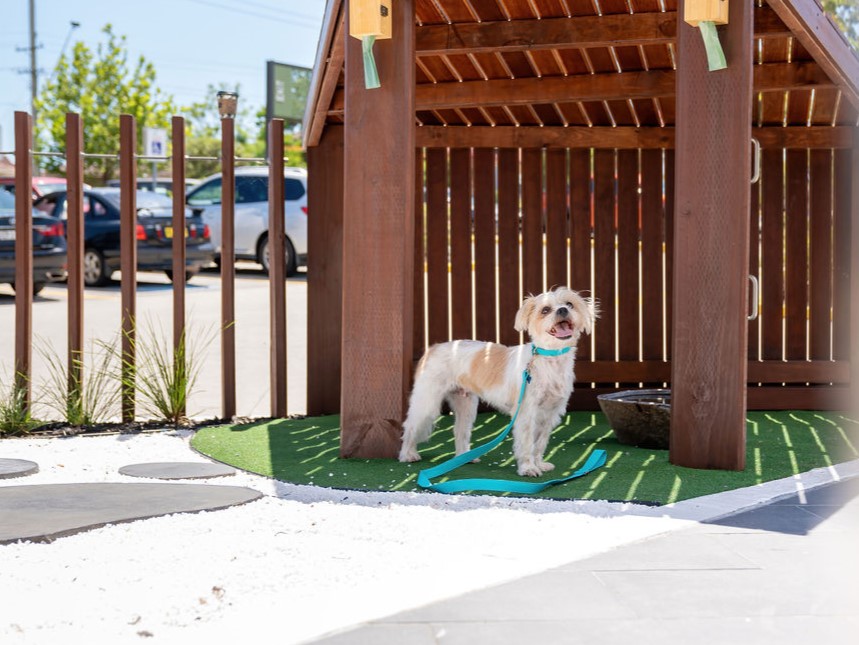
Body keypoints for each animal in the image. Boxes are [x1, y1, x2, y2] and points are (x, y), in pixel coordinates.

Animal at [398, 286, 596, 472]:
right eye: (545, 310)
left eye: (569, 304)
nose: (563, 310)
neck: (549, 359)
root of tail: (433, 348)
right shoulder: (526, 413)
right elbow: (526, 443)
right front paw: (528, 468)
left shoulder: (550, 414)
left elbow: (540, 444)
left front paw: (539, 464)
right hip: (426, 404)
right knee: (410, 426)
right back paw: (407, 454)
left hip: (466, 406)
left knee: (460, 431)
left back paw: (464, 457)